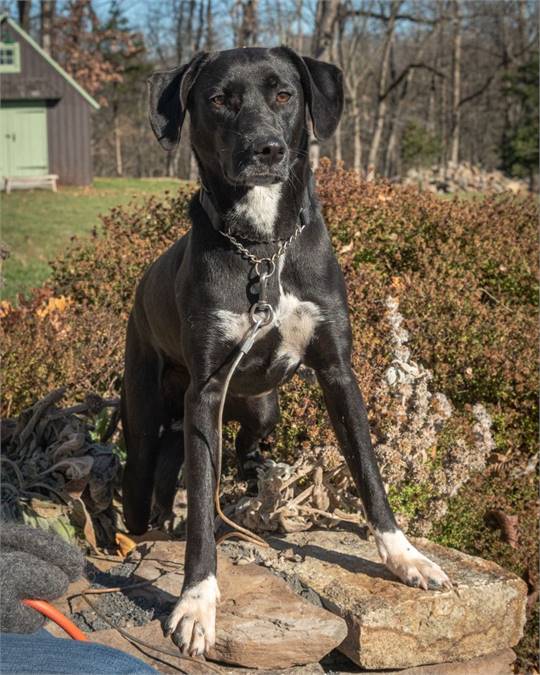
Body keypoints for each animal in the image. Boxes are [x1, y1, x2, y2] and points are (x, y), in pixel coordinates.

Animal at [123, 47, 452, 660]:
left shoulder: (337, 371)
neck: (263, 247)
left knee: (232, 454)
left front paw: (405, 558)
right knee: (146, 480)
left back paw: (254, 482)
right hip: (149, 413)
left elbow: (368, 472)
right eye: (218, 99)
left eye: (284, 94)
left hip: (261, 409)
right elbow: (201, 507)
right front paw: (196, 604)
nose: (267, 149)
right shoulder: (205, 392)